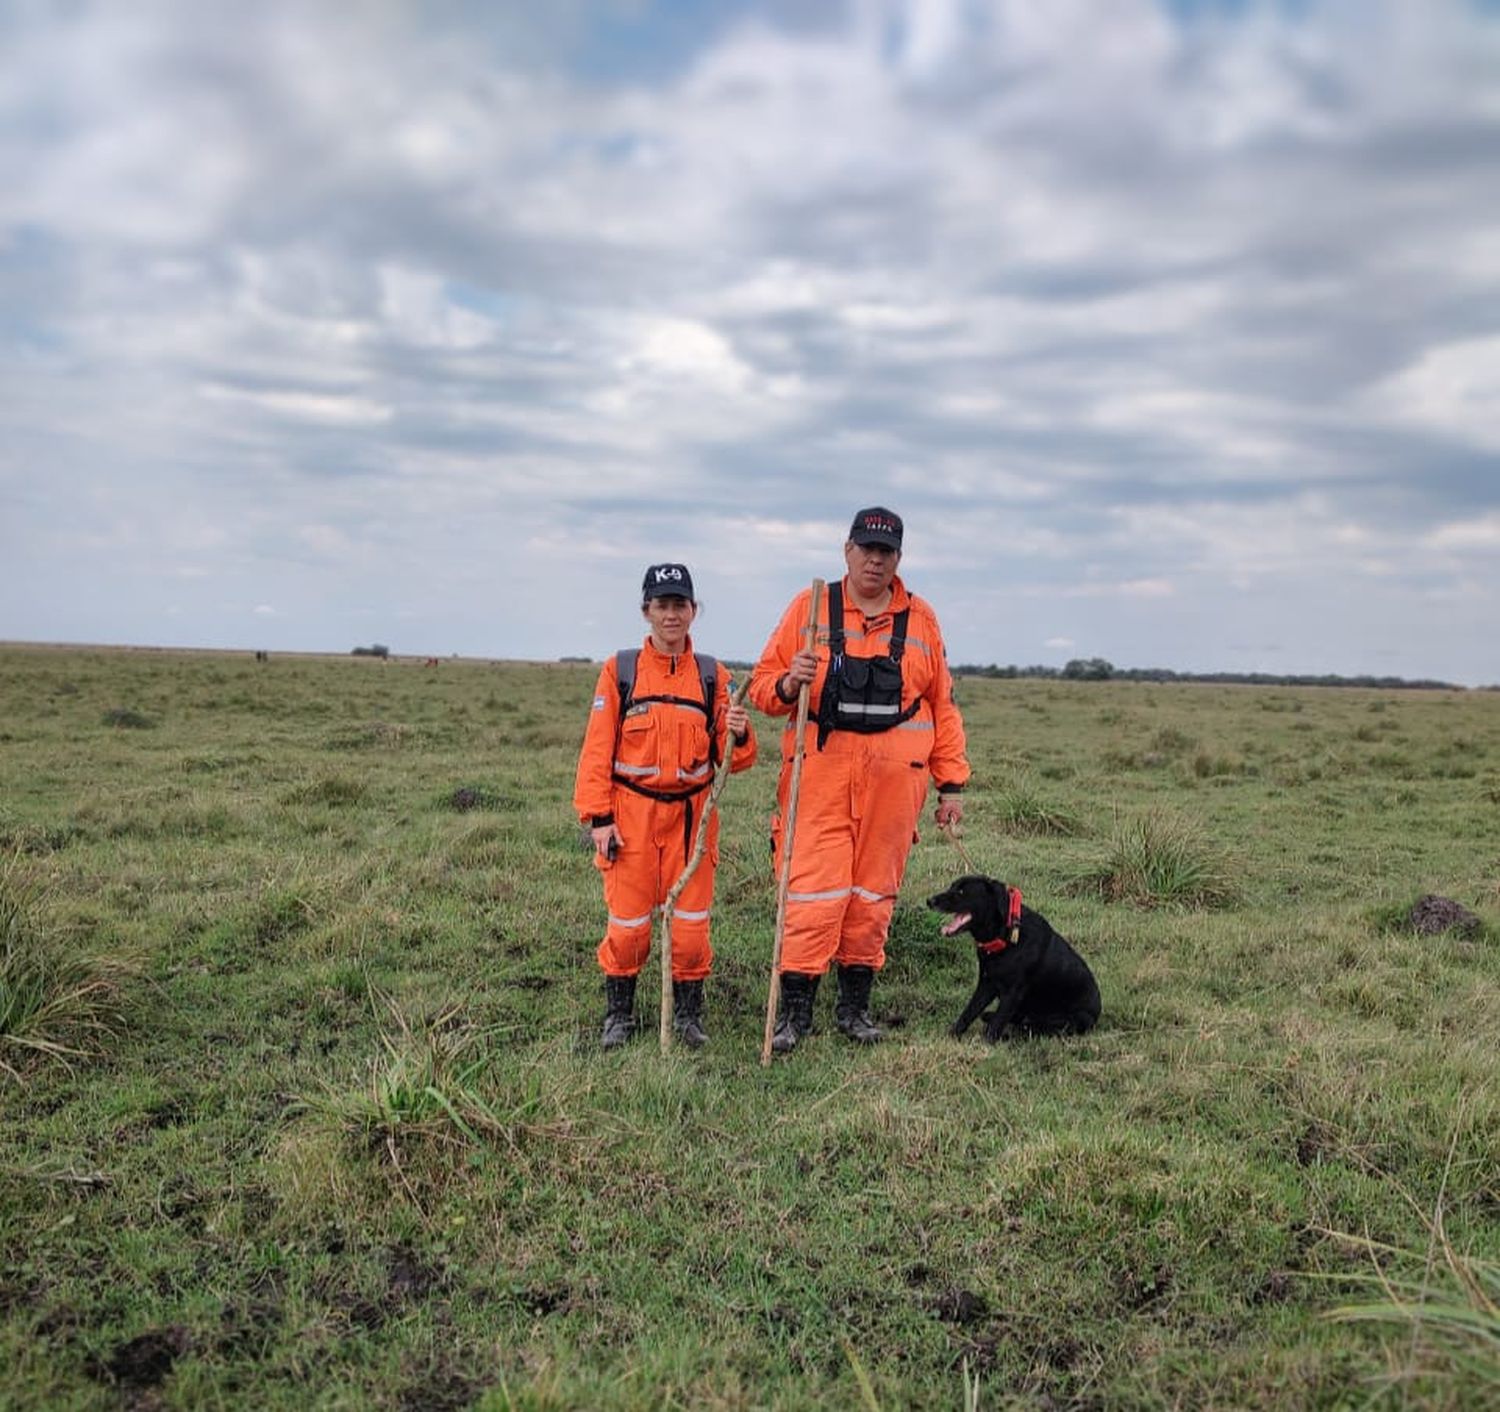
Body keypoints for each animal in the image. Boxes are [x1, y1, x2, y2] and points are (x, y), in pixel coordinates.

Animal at [924, 876, 1104, 1038]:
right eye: (951, 886)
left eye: (961, 891)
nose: (929, 901)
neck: (1005, 934)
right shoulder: (987, 983)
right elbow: (969, 1012)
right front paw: (952, 1035)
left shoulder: (1013, 991)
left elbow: (996, 1024)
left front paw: (987, 1043)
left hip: (1073, 1019)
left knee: (1032, 1028)